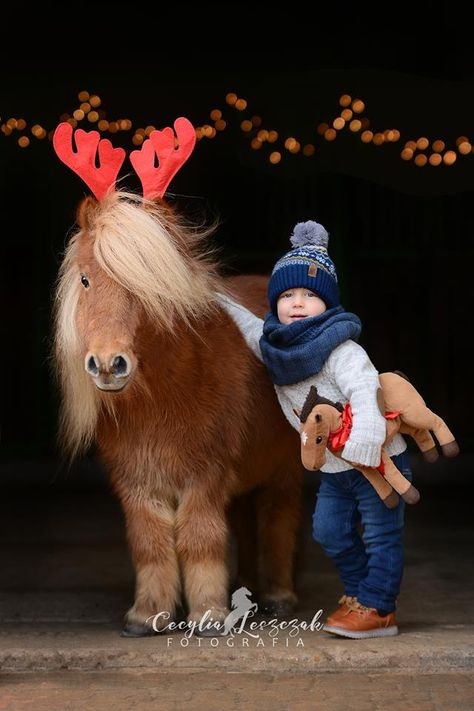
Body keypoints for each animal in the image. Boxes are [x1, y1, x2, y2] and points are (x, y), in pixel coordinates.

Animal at [52, 191, 304, 640]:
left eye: (147, 283)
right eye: (84, 280)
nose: (107, 365)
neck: (162, 398)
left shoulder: (205, 478)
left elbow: (200, 540)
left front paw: (209, 617)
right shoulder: (136, 482)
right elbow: (150, 544)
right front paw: (148, 616)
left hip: (285, 466)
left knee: (278, 518)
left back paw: (278, 597)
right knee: (245, 523)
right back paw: (245, 590)